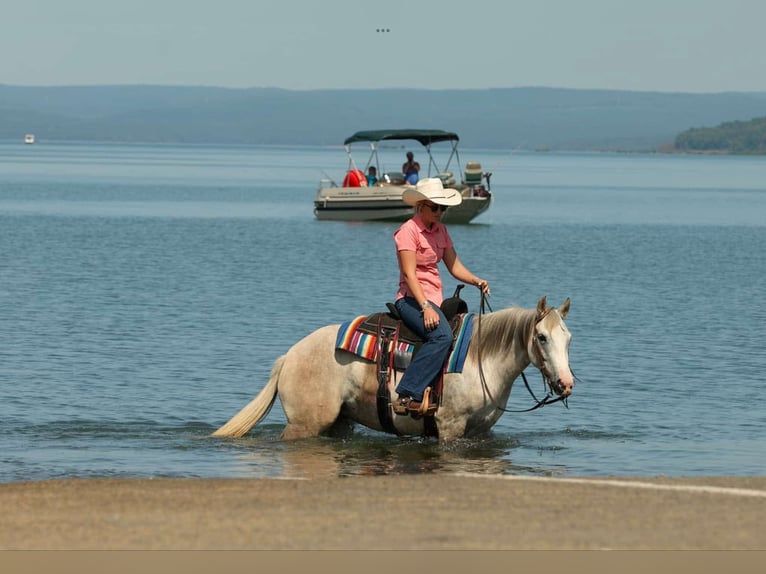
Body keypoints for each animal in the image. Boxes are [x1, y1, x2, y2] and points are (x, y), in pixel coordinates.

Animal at [212, 295, 573, 443]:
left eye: (568, 338)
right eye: (541, 337)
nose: (566, 383)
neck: (480, 358)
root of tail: (288, 357)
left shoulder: (479, 431)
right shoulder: (450, 426)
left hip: (339, 422)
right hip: (305, 424)